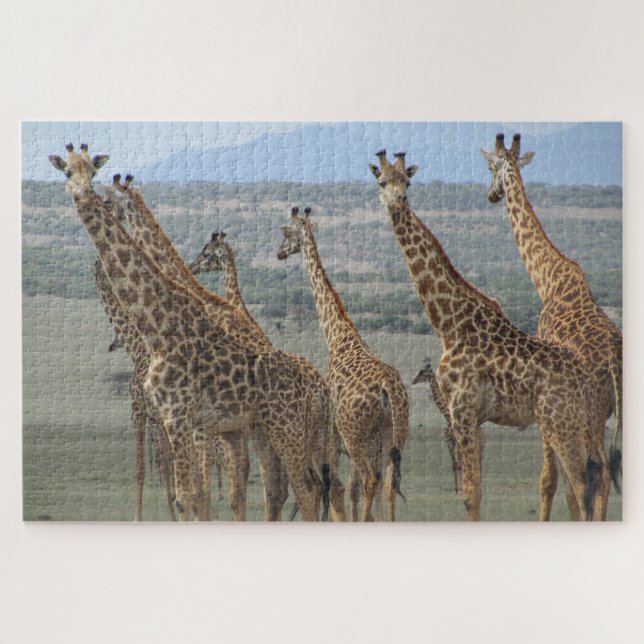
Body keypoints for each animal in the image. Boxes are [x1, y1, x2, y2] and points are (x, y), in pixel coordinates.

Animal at [48, 144, 322, 521]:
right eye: (67, 172)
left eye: (93, 172)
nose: (84, 194)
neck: (160, 331)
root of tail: (313, 382)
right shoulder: (183, 421)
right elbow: (194, 495)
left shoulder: (179, 417)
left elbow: (189, 496)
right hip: (264, 428)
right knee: (281, 489)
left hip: (286, 426)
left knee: (307, 490)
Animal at [188, 231, 347, 520]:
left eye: (206, 253)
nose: (192, 266)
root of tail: (321, 390)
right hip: (319, 436)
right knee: (330, 485)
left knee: (309, 485)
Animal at [277, 207, 409, 522]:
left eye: (286, 233)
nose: (279, 253)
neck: (338, 336)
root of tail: (388, 390)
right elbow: (351, 491)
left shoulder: (335, 444)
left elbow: (340, 491)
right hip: (395, 435)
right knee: (388, 482)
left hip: (356, 437)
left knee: (370, 480)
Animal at [411, 357, 462, 495]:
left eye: (422, 373)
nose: (413, 381)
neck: (447, 416)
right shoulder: (448, 441)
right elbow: (454, 464)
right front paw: (456, 489)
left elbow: (459, 464)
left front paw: (461, 489)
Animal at [481, 133, 623, 520]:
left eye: (490, 168)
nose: (491, 195)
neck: (547, 279)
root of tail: (612, 362)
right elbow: (569, 490)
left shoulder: (547, 405)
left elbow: (550, 480)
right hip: (613, 409)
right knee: (605, 469)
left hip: (590, 413)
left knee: (597, 471)